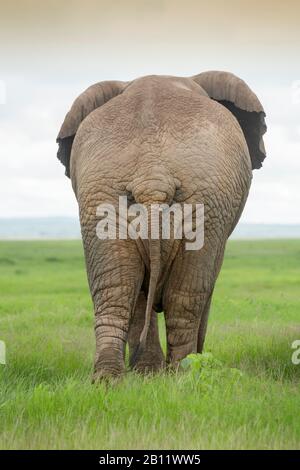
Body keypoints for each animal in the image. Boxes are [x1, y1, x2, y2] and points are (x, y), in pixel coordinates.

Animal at [56, 72, 268, 382]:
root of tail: (152, 175)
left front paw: (146, 374)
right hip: (206, 207)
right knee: (185, 295)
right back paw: (183, 375)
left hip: (102, 200)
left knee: (116, 290)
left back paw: (109, 380)